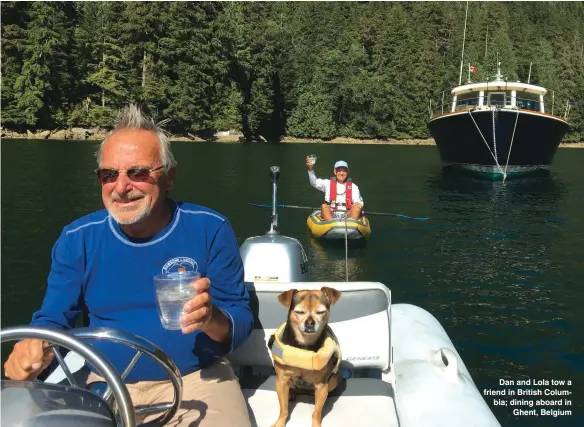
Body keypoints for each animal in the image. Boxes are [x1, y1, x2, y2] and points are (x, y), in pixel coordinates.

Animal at [270, 288, 342, 427]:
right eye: (299, 312)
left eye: (320, 312)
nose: (309, 323)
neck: (304, 346)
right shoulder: (281, 381)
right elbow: (284, 409)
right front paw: (280, 422)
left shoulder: (321, 385)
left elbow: (316, 413)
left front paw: (316, 424)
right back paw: (291, 394)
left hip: (335, 379)